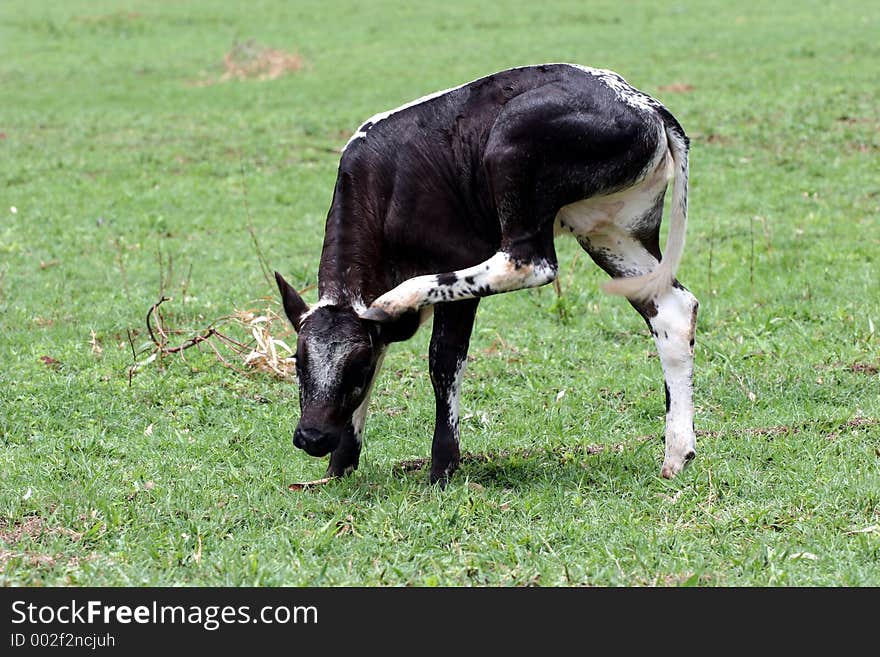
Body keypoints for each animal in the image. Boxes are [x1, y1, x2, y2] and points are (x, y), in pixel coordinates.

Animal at [276, 64, 700, 484]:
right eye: (297, 361)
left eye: (356, 368)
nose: (313, 437)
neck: (384, 188)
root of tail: (644, 103)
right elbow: (382, 349)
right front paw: (340, 465)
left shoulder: (457, 263)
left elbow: (443, 361)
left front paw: (442, 467)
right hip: (610, 232)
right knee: (672, 309)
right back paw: (677, 452)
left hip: (512, 149)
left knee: (530, 261)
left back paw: (401, 296)